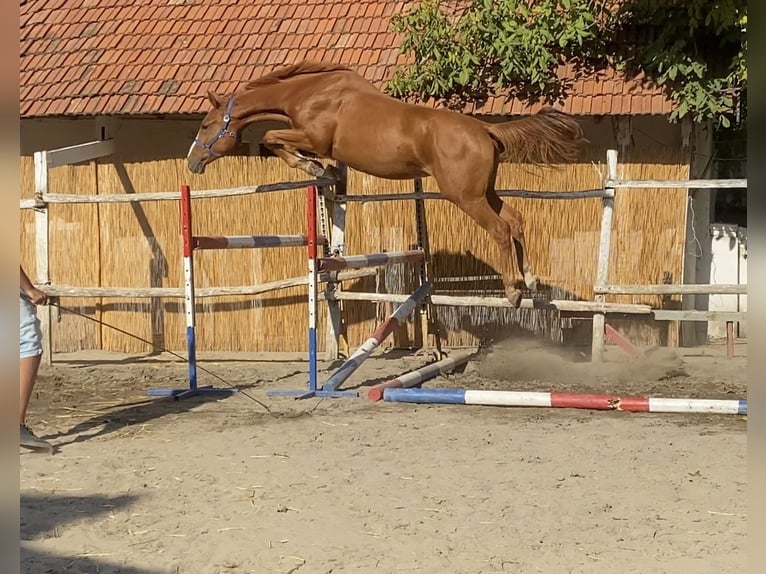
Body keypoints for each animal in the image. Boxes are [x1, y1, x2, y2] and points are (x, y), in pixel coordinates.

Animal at [186, 61, 585, 307]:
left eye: (205, 125)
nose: (192, 162)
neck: (310, 94)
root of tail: (484, 129)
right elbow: (277, 139)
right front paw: (318, 170)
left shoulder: (313, 137)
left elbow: (272, 137)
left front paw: (311, 166)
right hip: (485, 191)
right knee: (515, 221)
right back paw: (530, 281)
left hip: (465, 197)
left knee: (501, 229)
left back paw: (514, 291)